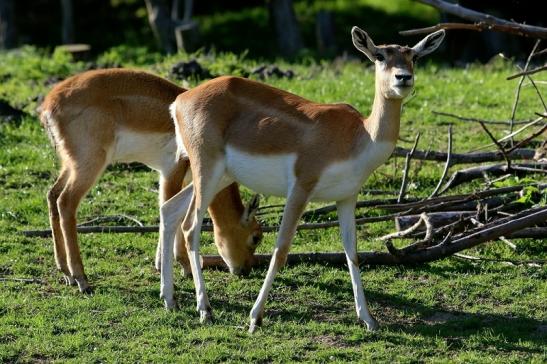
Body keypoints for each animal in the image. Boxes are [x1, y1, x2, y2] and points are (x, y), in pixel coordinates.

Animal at [39, 68, 262, 294]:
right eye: (256, 237)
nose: (246, 269)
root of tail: (50, 103)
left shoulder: (175, 177)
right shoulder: (173, 170)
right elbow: (173, 214)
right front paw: (174, 268)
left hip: (70, 165)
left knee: (52, 195)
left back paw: (65, 272)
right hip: (90, 165)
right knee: (65, 202)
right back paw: (81, 279)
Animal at [162, 27, 446, 332]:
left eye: (414, 56)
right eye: (380, 55)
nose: (403, 78)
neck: (359, 137)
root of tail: (180, 101)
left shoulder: (347, 197)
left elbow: (353, 253)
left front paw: (369, 319)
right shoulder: (300, 188)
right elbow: (281, 249)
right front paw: (254, 318)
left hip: (221, 176)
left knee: (169, 210)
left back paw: (169, 300)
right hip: (207, 169)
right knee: (190, 227)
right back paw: (205, 309)